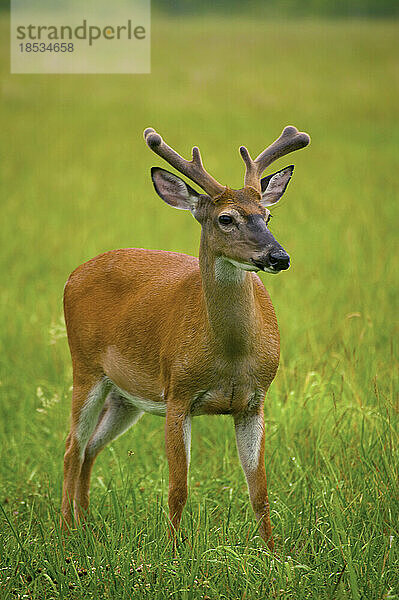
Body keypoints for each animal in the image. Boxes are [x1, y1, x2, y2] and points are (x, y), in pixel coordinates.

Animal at [61, 124, 310, 552]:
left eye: (267, 214)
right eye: (226, 218)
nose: (279, 257)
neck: (230, 355)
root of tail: (75, 273)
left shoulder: (255, 401)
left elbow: (259, 490)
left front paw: (274, 555)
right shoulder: (178, 394)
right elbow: (178, 488)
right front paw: (173, 553)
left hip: (125, 396)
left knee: (90, 448)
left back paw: (85, 524)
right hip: (85, 367)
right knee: (71, 448)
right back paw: (64, 532)